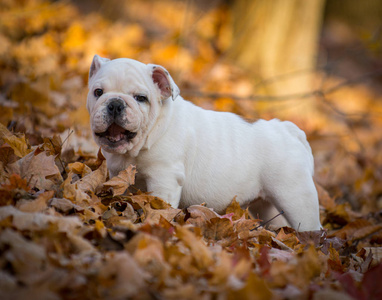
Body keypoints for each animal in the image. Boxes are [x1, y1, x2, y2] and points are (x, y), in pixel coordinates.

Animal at [87, 54, 322, 232]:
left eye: (140, 98)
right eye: (98, 92)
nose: (115, 103)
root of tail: (289, 130)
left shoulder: (164, 179)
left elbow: (160, 205)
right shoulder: (119, 173)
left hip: (295, 197)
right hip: (267, 204)